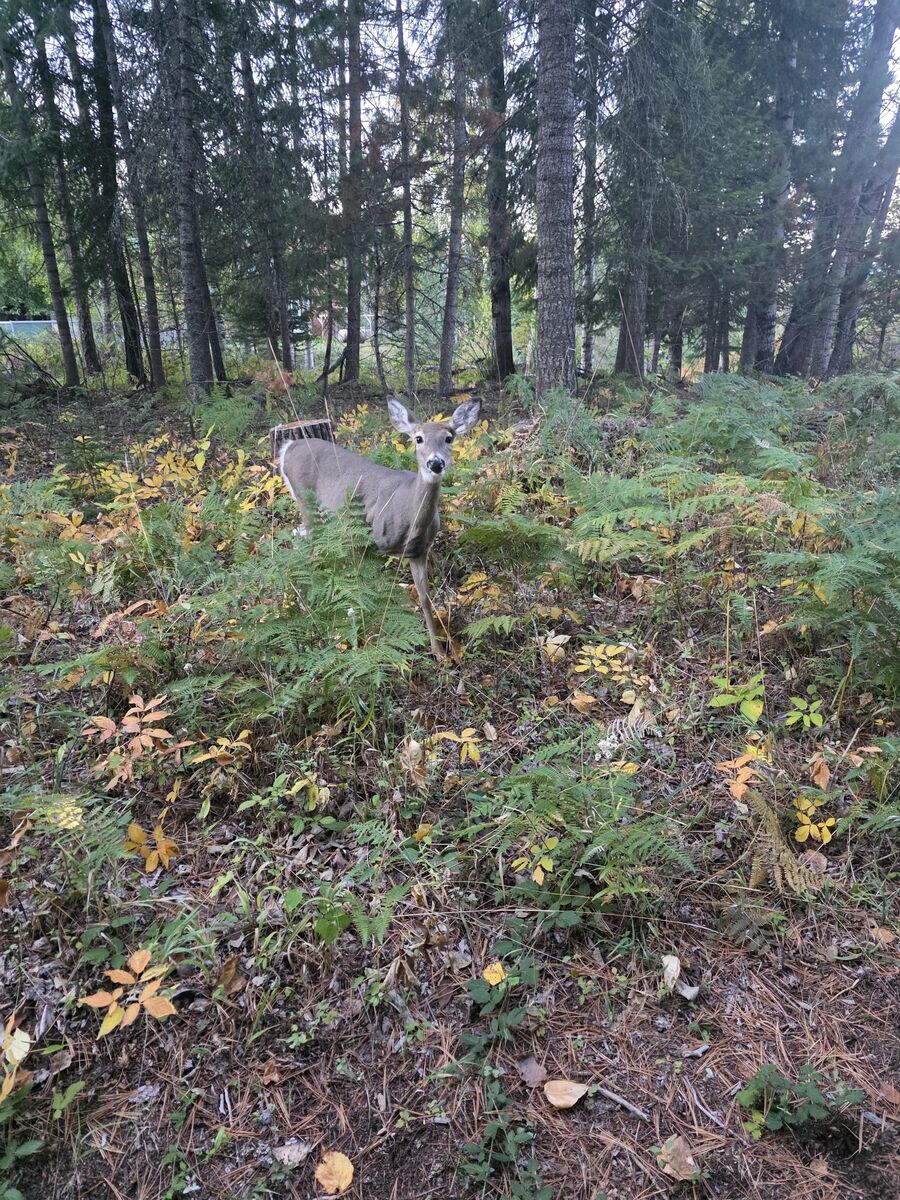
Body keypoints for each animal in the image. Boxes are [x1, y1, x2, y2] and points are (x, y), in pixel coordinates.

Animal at [278, 396, 482, 660]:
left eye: (449, 438)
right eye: (418, 438)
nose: (435, 462)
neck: (409, 514)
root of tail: (288, 447)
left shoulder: (419, 551)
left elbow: (425, 598)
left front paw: (439, 653)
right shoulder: (367, 543)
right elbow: (365, 592)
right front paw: (365, 640)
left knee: (298, 536)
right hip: (309, 506)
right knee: (307, 548)